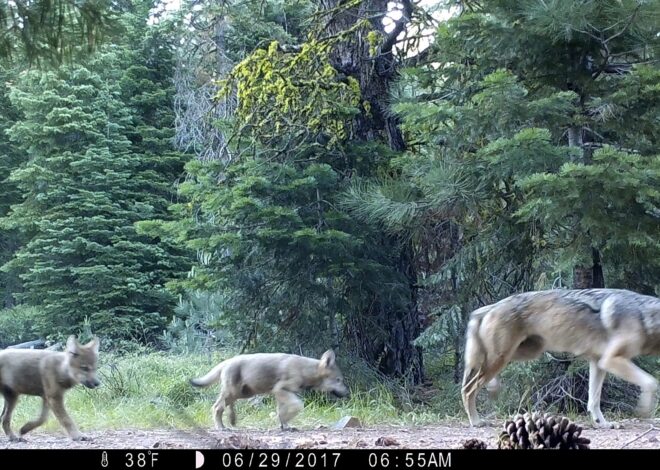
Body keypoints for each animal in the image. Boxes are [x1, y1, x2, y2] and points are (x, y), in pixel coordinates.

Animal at [190, 349, 350, 430]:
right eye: (339, 380)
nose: (348, 393)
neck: (305, 370)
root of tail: (226, 361)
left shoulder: (283, 394)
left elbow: (281, 412)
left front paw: (285, 426)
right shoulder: (280, 390)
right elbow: (297, 405)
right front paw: (285, 423)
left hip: (242, 394)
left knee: (226, 407)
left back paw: (232, 421)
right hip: (234, 393)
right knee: (217, 407)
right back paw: (221, 427)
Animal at [461, 288, 660, 428]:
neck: (644, 315)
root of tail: (491, 306)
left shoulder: (598, 362)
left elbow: (593, 400)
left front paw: (602, 424)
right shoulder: (611, 359)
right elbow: (651, 382)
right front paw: (644, 410)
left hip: (523, 353)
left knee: (479, 377)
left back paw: (493, 387)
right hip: (502, 357)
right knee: (468, 389)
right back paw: (476, 421)